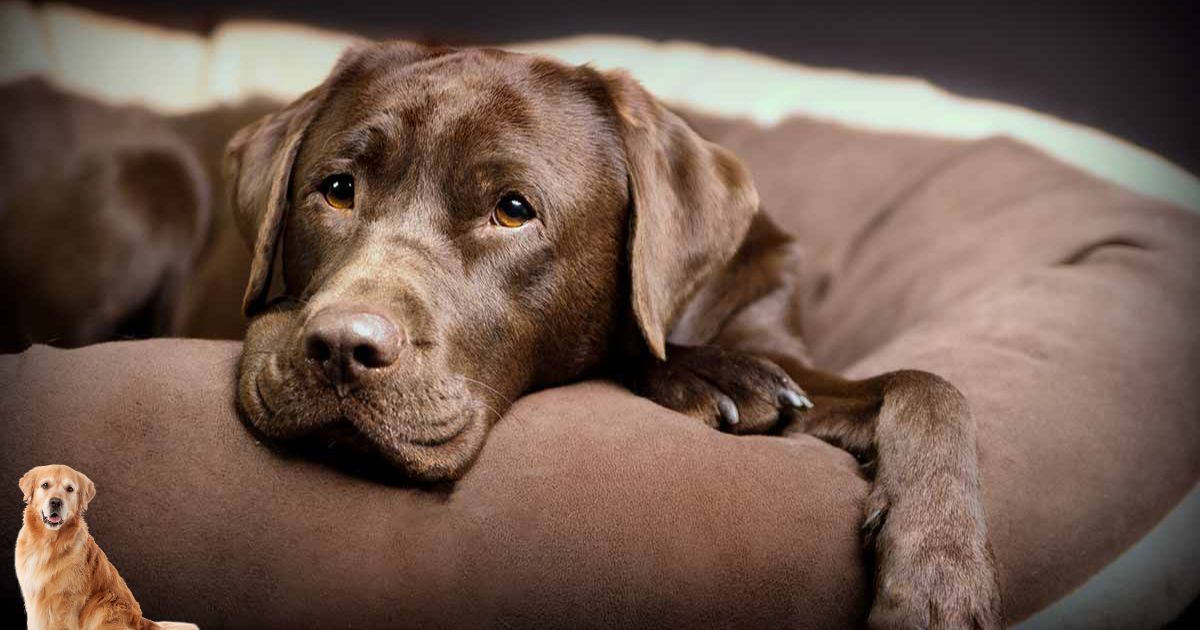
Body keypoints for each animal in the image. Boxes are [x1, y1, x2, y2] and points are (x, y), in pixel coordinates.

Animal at [15, 460, 198, 628]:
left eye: (70, 489)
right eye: (45, 485)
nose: (55, 502)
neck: (47, 541)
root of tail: (142, 621)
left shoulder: (65, 600)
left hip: (104, 604)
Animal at [231, 41, 1003, 624]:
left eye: (513, 209)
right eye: (337, 190)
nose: (341, 347)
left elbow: (930, 387)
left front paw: (942, 573)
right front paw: (706, 373)